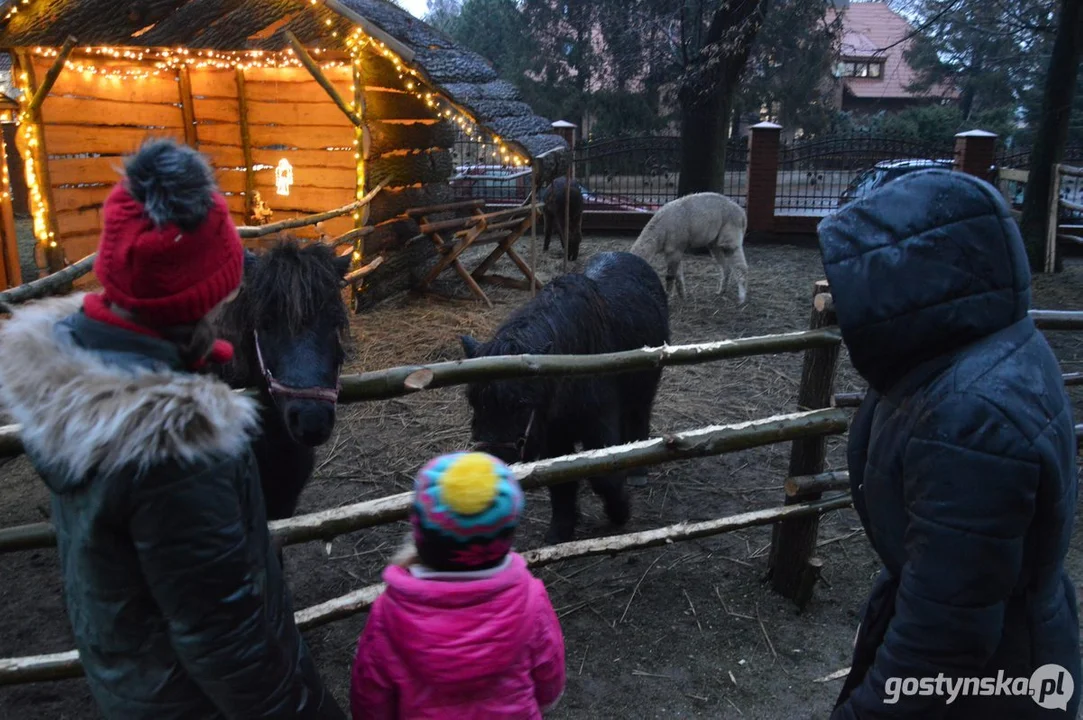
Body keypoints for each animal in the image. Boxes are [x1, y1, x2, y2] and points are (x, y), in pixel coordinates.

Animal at [459, 250, 667, 541]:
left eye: (521, 404)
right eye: (473, 401)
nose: (493, 461)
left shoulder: (598, 424)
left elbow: (604, 477)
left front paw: (620, 513)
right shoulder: (553, 434)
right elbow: (561, 482)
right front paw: (560, 530)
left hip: (645, 386)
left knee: (639, 415)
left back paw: (637, 470)